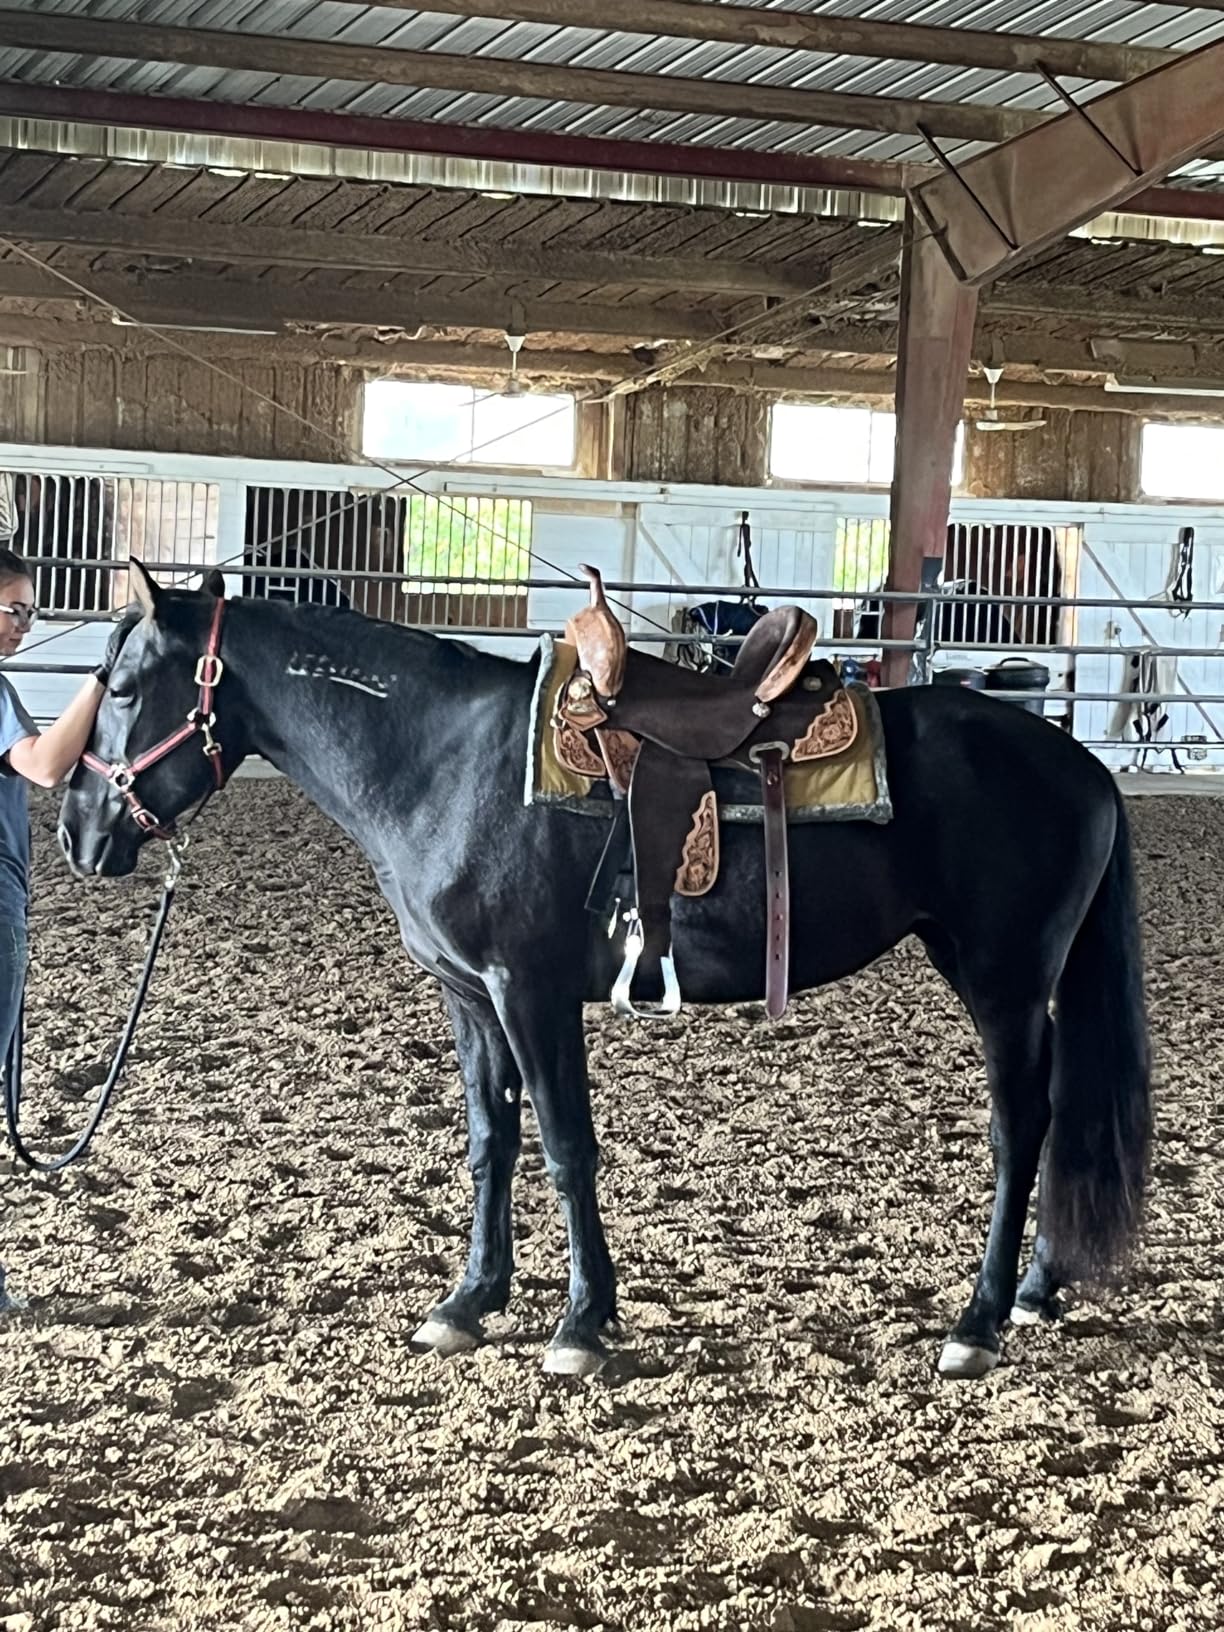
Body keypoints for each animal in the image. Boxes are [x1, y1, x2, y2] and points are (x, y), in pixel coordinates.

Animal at [57, 562, 1151, 1381]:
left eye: (122, 688)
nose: (78, 831)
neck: (443, 761)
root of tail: (1082, 766)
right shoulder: (470, 997)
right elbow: (491, 1142)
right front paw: (469, 1301)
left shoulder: (530, 990)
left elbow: (564, 1147)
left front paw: (581, 1324)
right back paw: (1036, 1291)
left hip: (1004, 982)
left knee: (1022, 1124)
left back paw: (979, 1320)